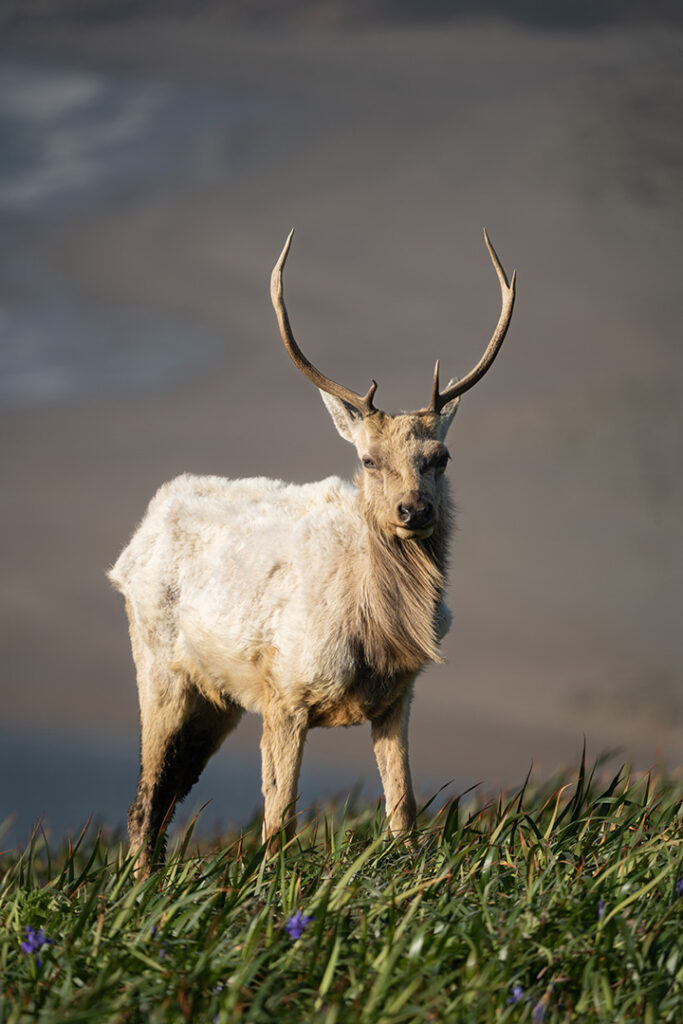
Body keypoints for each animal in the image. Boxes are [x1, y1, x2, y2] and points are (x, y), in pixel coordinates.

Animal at [108, 228, 516, 874]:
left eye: (441, 457)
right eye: (368, 459)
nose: (414, 511)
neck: (378, 633)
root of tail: (134, 542)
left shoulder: (398, 696)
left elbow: (404, 811)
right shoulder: (283, 693)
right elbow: (279, 819)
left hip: (217, 698)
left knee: (168, 795)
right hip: (160, 666)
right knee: (146, 798)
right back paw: (141, 886)